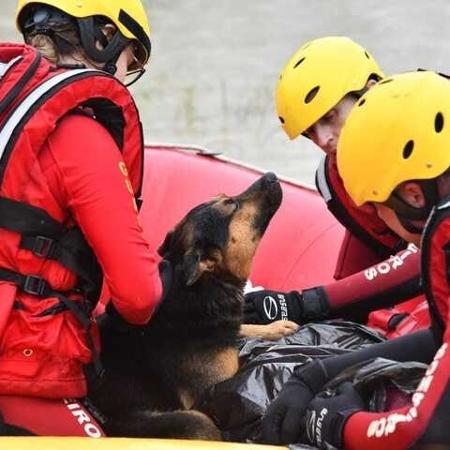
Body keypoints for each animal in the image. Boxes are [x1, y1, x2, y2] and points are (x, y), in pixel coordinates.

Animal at [89, 172, 284, 440]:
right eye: (232, 204)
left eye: (226, 197)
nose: (271, 176)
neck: (203, 287)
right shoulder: (216, 387)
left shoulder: (225, 331)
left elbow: (243, 328)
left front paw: (278, 327)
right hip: (193, 421)